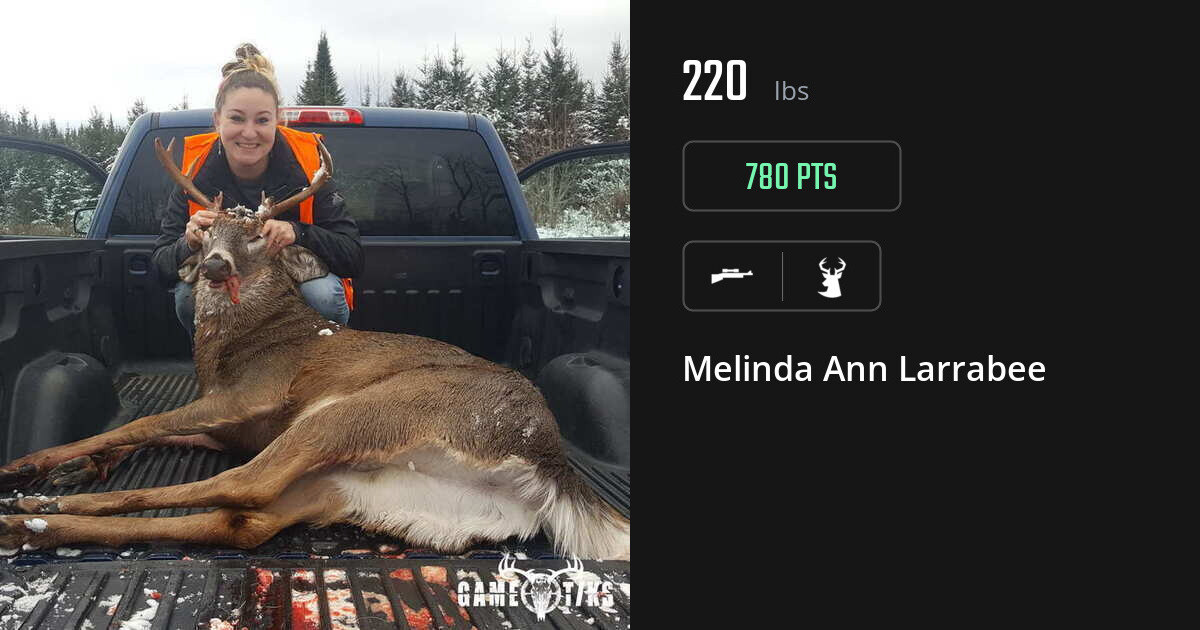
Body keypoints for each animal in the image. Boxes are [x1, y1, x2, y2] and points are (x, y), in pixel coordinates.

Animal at [0, 137, 629, 560]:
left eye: (257, 235)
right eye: (205, 232)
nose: (214, 264)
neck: (229, 351)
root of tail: (547, 462)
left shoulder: (249, 396)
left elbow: (140, 424)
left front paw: (34, 464)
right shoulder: (231, 424)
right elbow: (149, 433)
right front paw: (80, 467)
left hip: (361, 412)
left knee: (241, 486)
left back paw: (30, 507)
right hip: (357, 487)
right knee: (241, 523)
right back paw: (31, 522)